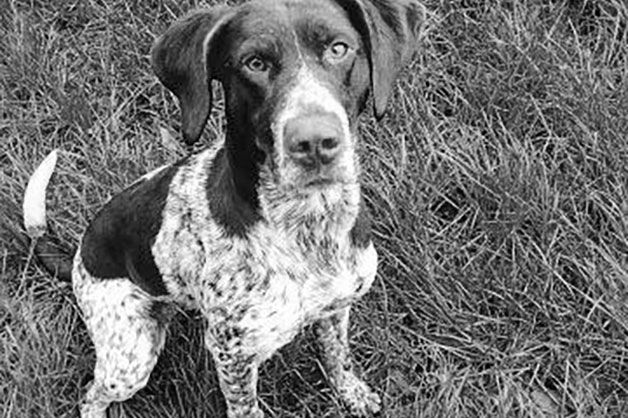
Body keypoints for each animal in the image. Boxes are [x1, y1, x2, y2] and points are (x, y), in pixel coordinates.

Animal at [22, 1, 420, 416]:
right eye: (254, 63)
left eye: (339, 49)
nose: (315, 142)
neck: (309, 225)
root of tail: (79, 254)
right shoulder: (232, 353)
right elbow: (246, 406)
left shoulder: (336, 308)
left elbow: (336, 356)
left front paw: (352, 393)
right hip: (130, 355)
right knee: (91, 395)